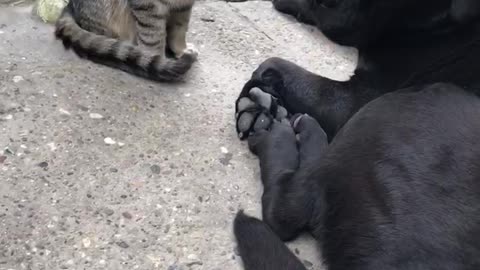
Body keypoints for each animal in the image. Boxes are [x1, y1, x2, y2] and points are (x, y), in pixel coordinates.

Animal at [55, 0, 198, 81]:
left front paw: (181, 49)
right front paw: (159, 61)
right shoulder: (148, 6)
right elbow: (153, 37)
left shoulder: (184, 6)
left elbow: (180, 29)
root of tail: (70, 6)